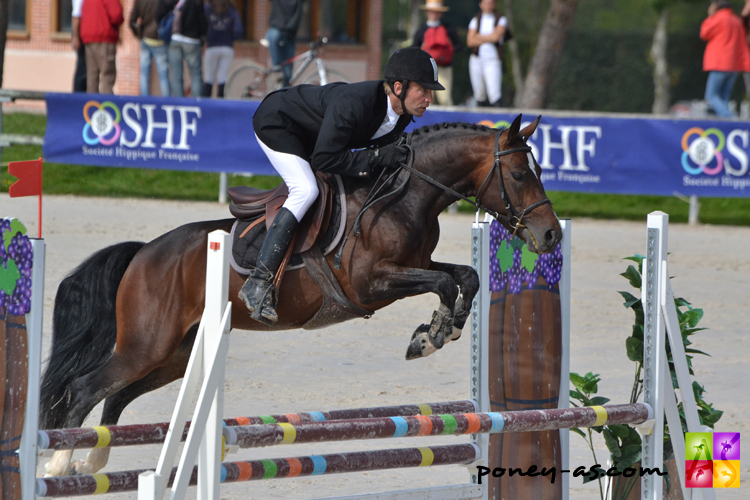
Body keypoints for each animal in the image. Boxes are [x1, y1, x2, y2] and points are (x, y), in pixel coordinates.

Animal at [38, 114, 560, 476]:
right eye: (519, 175)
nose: (551, 235)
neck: (406, 194)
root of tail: (143, 253)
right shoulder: (372, 284)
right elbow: (447, 283)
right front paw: (431, 335)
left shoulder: (414, 266)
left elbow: (465, 276)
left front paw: (435, 332)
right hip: (147, 345)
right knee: (85, 389)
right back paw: (59, 464)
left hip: (172, 356)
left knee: (116, 397)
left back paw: (93, 462)